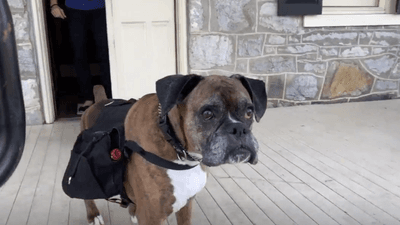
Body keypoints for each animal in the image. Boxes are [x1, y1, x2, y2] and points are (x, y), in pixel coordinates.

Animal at [79, 74, 268, 225]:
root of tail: (100, 102)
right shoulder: (153, 217)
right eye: (207, 114)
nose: (239, 129)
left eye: (249, 112)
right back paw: (93, 215)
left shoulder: (186, 204)